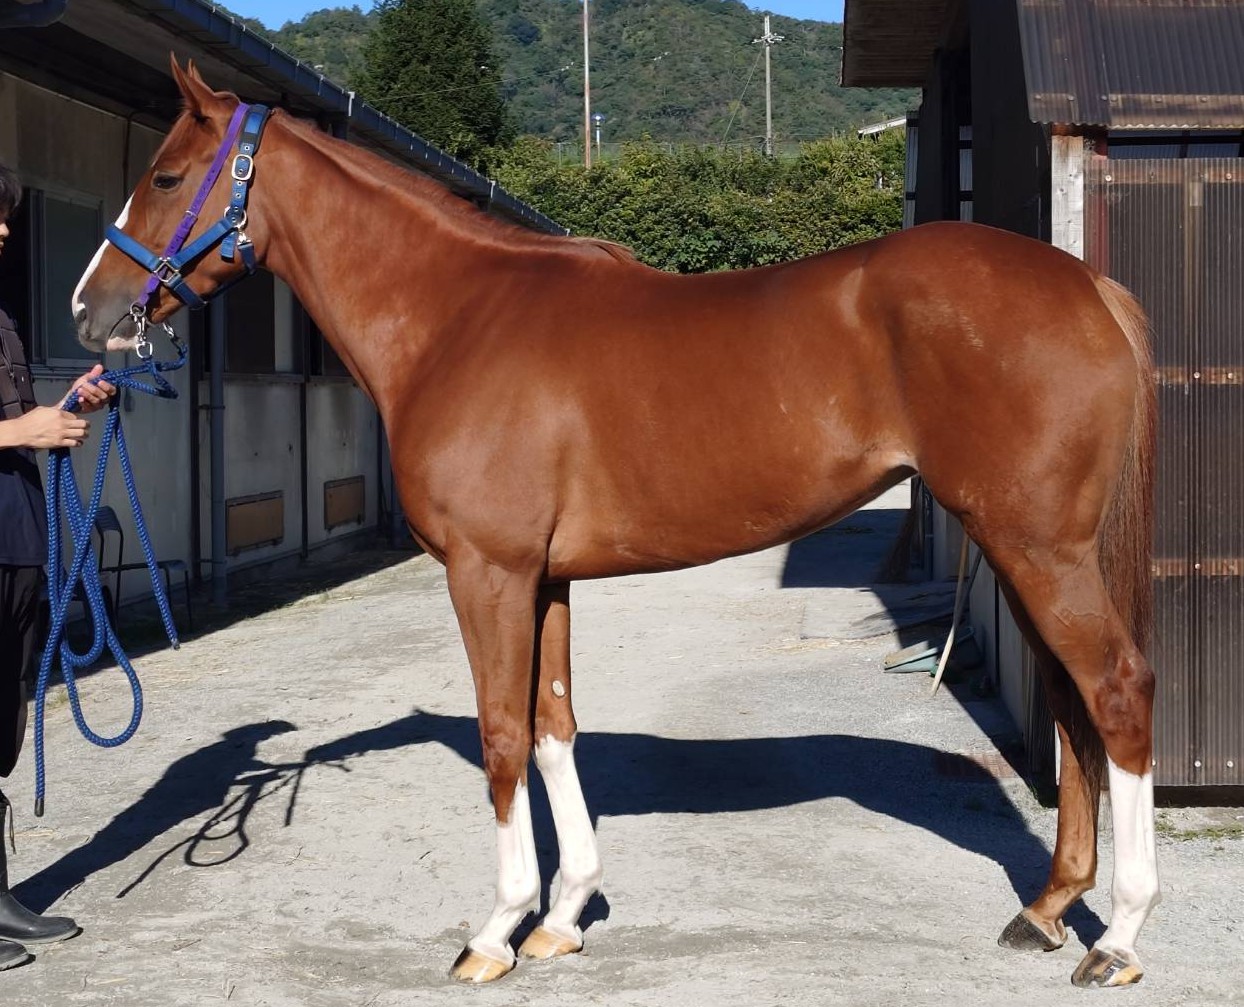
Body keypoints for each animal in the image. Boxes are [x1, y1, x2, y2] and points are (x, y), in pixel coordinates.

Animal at [71, 60, 1159, 990]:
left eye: (166, 175)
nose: (89, 310)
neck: (456, 317)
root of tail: (1086, 286)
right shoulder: (546, 578)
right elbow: (555, 729)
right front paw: (561, 916)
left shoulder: (488, 572)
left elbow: (503, 733)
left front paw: (494, 931)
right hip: (1020, 550)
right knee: (1067, 706)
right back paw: (1046, 909)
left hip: (1039, 548)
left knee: (1113, 691)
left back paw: (1120, 935)